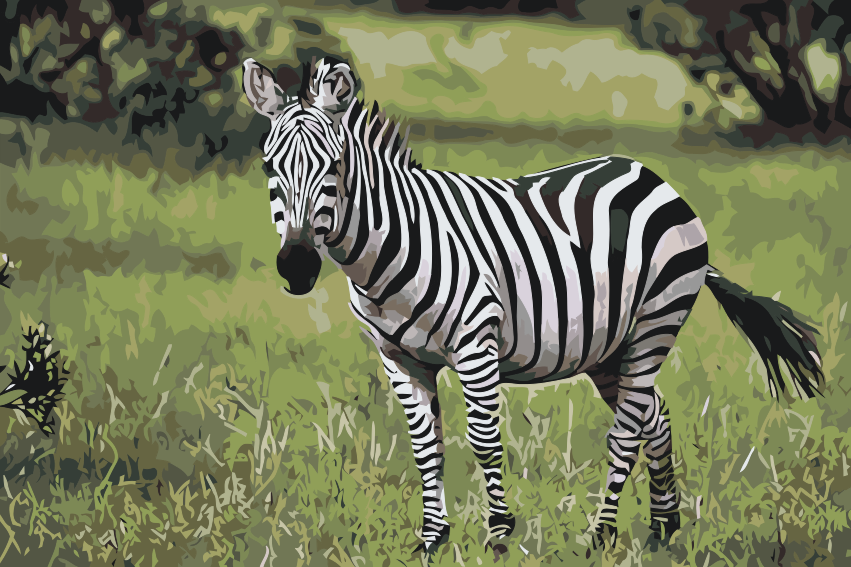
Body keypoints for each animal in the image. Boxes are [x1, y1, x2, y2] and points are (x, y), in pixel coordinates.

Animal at [242, 56, 824, 553]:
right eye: (269, 167)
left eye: (336, 166)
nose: (296, 266)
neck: (388, 251)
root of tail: (649, 174)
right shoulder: (398, 359)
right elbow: (426, 448)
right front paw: (432, 540)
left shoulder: (476, 344)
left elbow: (484, 441)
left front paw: (499, 536)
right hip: (610, 348)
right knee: (652, 418)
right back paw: (663, 530)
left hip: (655, 324)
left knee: (626, 432)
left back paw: (600, 537)